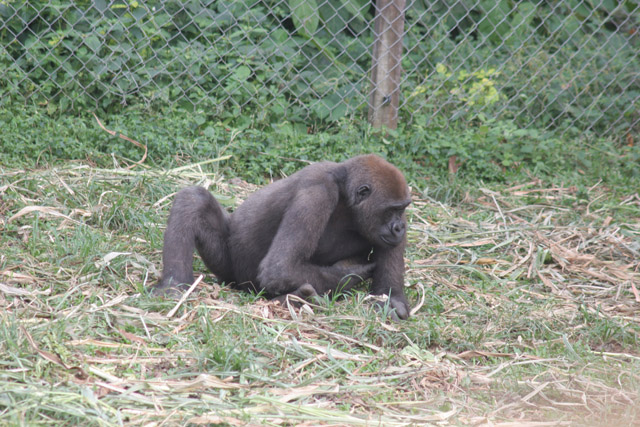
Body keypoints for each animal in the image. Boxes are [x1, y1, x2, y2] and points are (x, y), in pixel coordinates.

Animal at [153, 154, 412, 320]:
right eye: (391, 210)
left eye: (402, 209)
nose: (400, 228)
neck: (346, 195)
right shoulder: (317, 192)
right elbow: (280, 268)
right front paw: (348, 275)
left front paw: (393, 301)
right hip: (231, 268)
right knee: (193, 198)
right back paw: (173, 286)